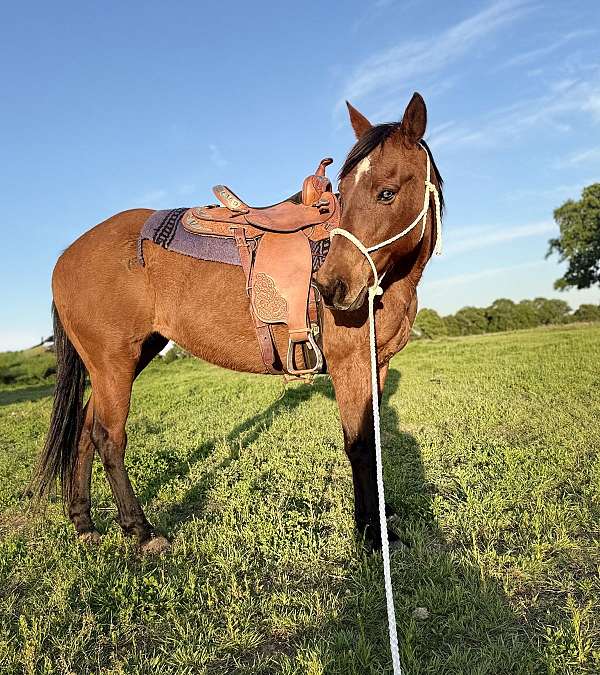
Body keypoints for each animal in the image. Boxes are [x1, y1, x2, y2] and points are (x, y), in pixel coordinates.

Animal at [34, 92, 443, 554]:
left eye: (387, 192)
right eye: (344, 189)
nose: (331, 286)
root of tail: (64, 258)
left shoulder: (378, 363)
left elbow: (373, 441)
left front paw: (382, 522)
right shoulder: (349, 364)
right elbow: (358, 445)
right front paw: (372, 536)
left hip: (122, 361)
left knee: (85, 432)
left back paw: (84, 522)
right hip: (113, 364)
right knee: (108, 437)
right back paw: (142, 532)